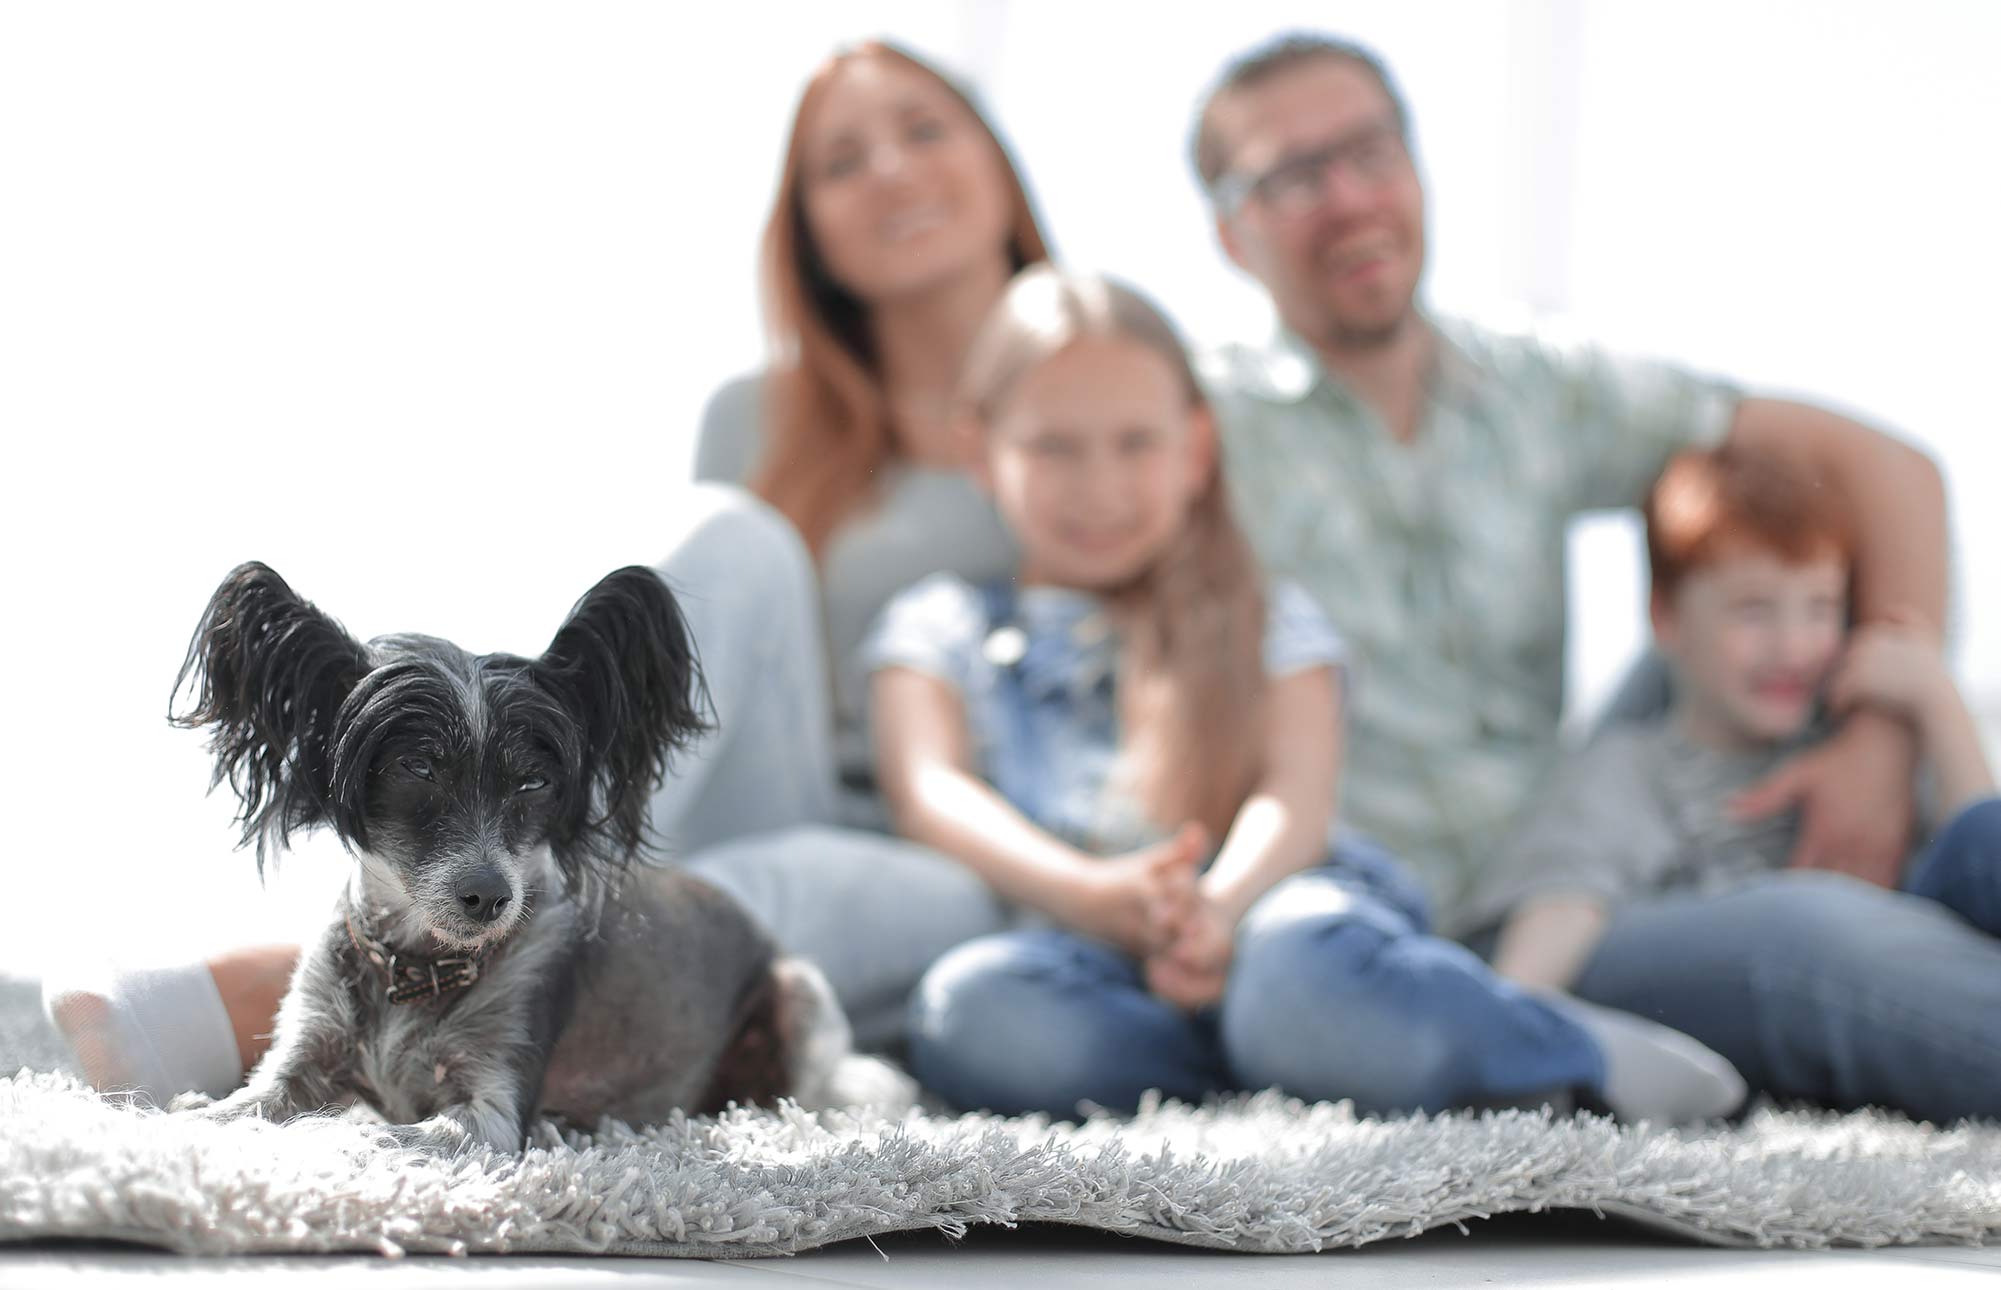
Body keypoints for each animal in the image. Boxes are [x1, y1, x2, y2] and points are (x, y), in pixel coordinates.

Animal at [164, 560, 908, 1152]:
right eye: (415, 769)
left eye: (533, 783)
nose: (490, 896)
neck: (416, 968)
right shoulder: (301, 1056)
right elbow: (240, 1109)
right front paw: (186, 1119)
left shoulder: (490, 1108)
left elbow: (370, 1134)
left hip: (799, 995)